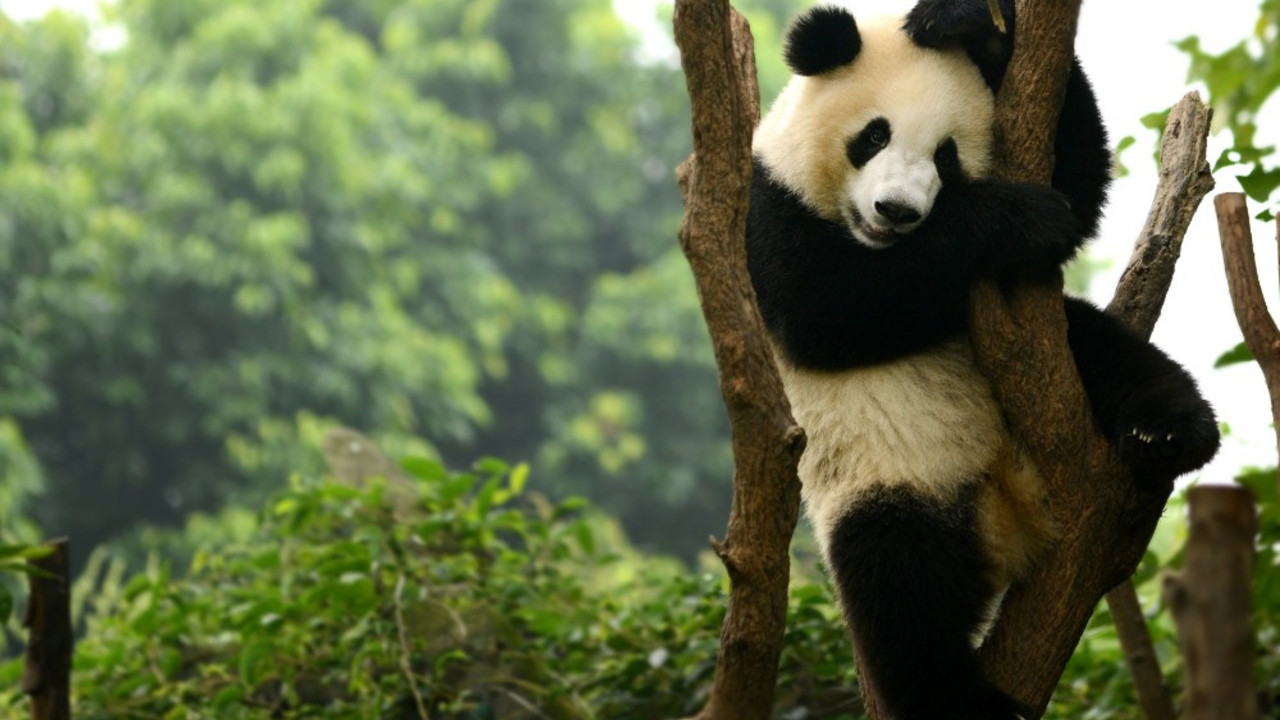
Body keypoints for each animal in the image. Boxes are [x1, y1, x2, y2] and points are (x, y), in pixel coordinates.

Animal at [745, 2, 1220, 718]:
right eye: (873, 136)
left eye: (947, 157)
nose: (896, 210)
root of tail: (1010, 523)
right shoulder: (765, 208)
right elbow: (825, 309)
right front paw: (1016, 217)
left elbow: (1078, 180)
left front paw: (976, 30)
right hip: (883, 479)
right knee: (898, 590)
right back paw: (967, 700)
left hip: (1066, 367)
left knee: (1109, 350)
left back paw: (1170, 431)